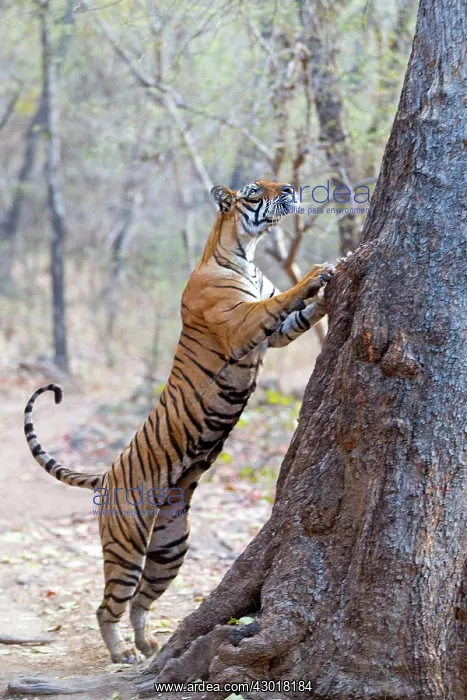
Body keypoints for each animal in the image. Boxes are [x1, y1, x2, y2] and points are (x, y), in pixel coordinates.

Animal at [24, 179, 337, 664]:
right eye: (254, 190)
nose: (289, 187)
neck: (247, 252)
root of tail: (105, 475)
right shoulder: (242, 323)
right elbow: (281, 298)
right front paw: (317, 273)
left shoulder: (276, 333)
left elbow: (299, 315)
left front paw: (332, 281)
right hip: (127, 546)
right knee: (108, 605)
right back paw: (124, 654)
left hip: (170, 548)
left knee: (140, 602)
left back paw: (150, 645)